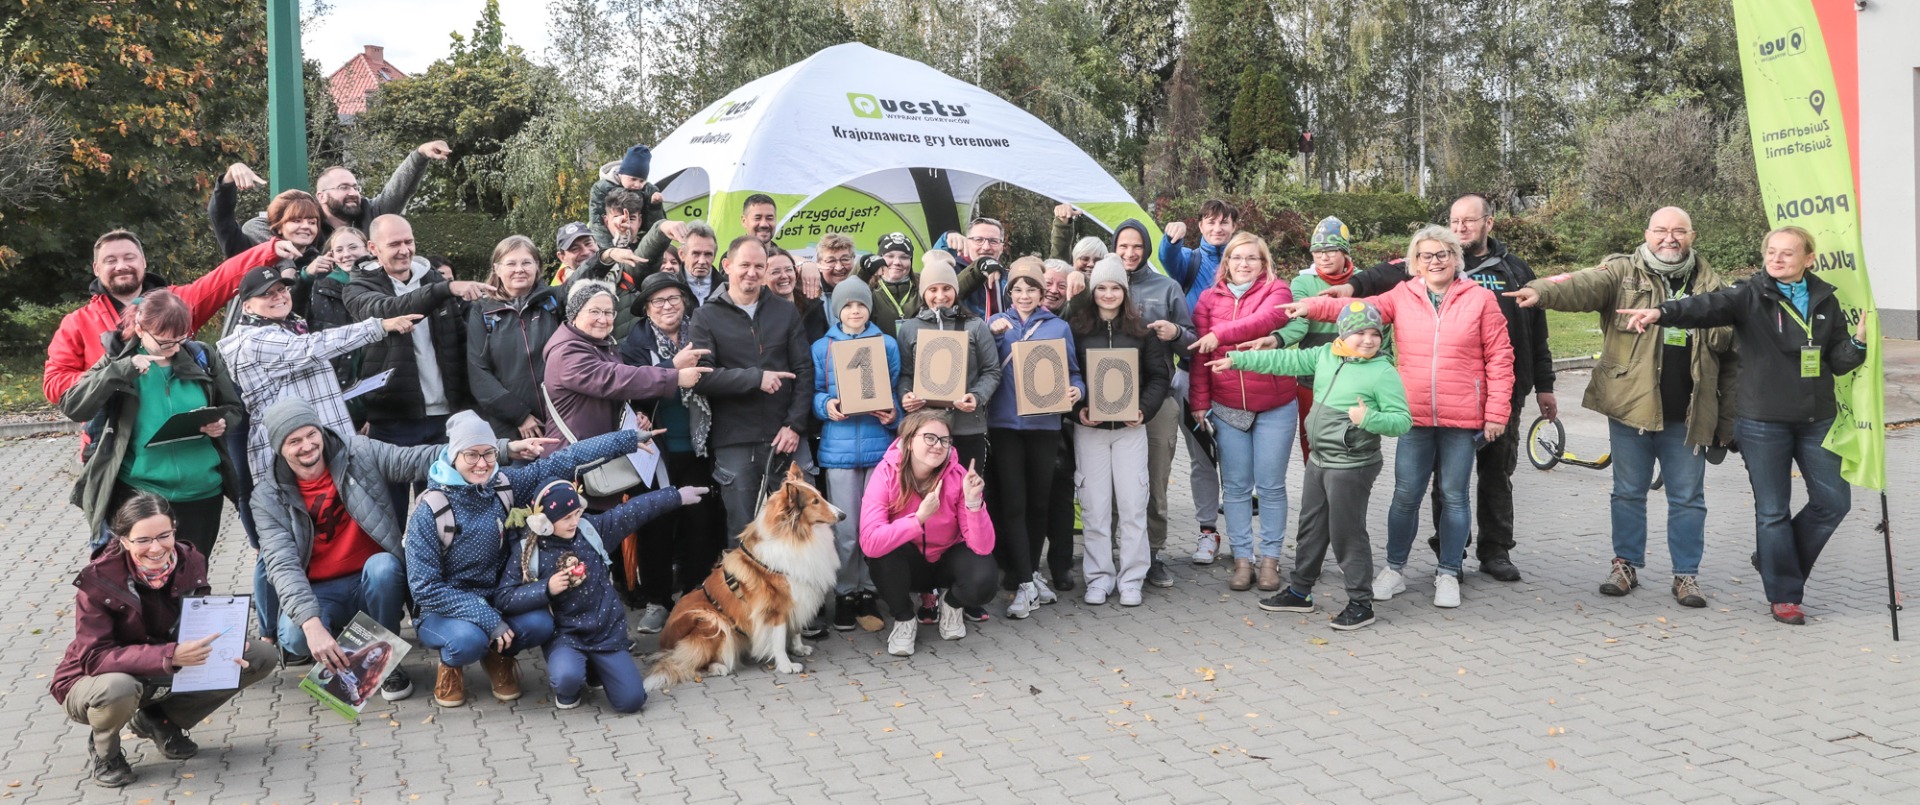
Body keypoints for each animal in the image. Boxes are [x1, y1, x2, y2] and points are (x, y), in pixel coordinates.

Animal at [645, 461, 840, 691]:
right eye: (815, 501)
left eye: (820, 495)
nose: (843, 515)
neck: (796, 536)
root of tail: (664, 645)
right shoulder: (775, 606)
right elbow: (778, 638)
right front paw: (786, 665)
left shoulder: (797, 597)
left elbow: (795, 629)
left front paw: (799, 648)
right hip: (712, 620)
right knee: (687, 661)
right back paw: (717, 667)